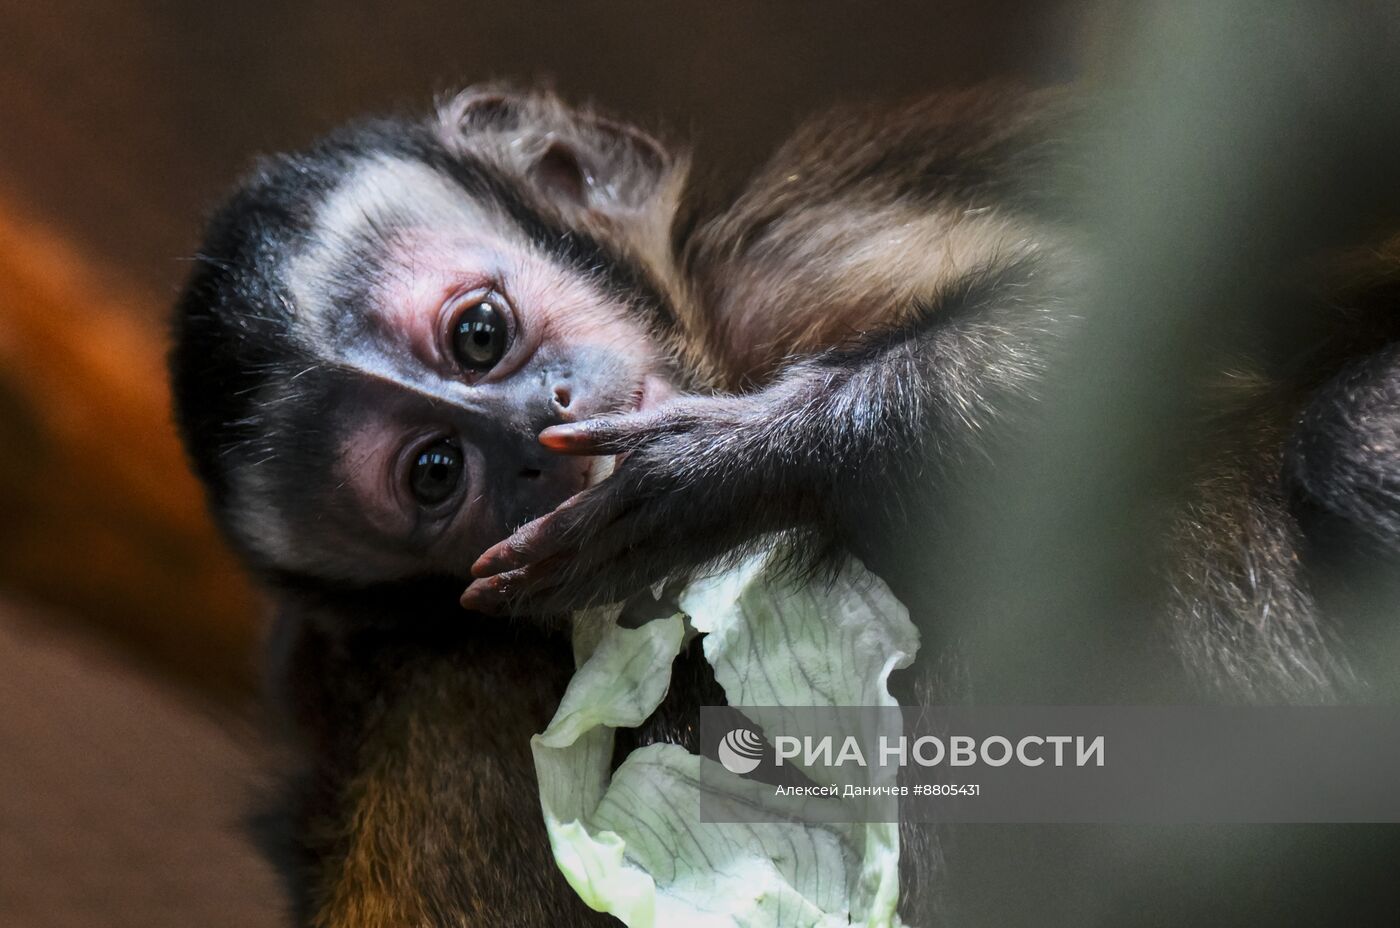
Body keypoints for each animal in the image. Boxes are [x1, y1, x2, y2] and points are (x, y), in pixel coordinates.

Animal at [169, 85, 1400, 923]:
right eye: (435, 473)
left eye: (479, 334)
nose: (529, 438)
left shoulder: (805, 263)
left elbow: (1142, 329)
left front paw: (728, 469)